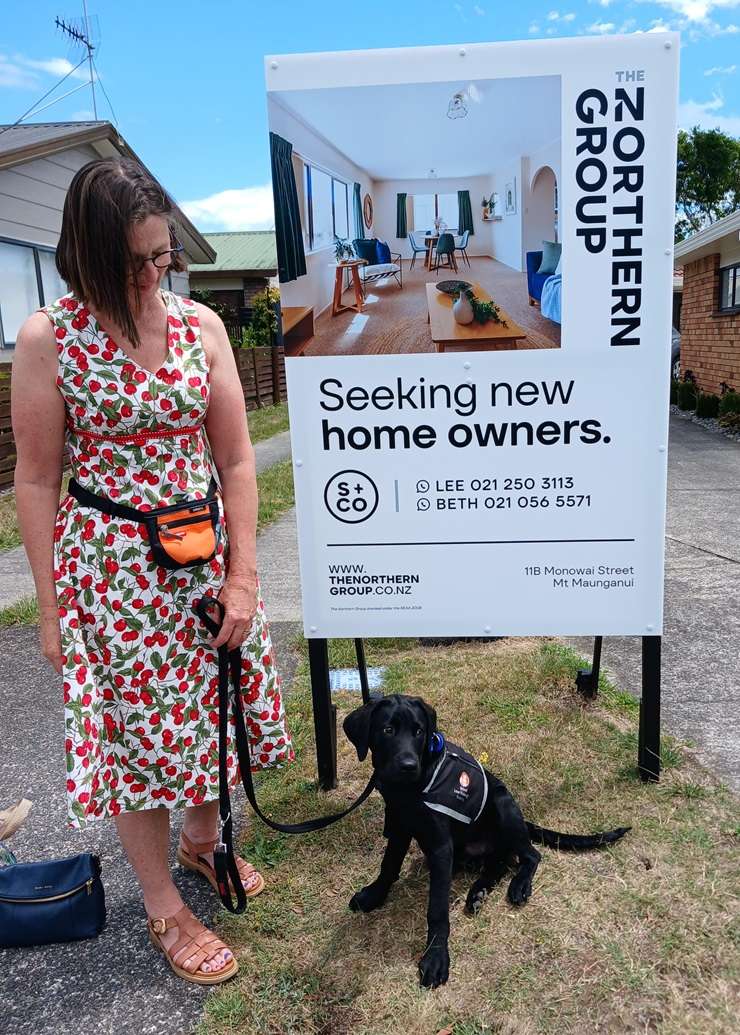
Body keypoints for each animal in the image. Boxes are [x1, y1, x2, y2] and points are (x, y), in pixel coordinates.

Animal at [343, 695, 629, 985]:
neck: (410, 790)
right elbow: (388, 865)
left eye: (419, 731)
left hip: (503, 804)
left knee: (529, 855)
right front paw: (374, 895)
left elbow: (437, 909)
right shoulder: (399, 824)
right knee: (499, 863)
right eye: (388, 730)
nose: (409, 766)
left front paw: (436, 957)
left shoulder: (440, 846)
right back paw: (478, 892)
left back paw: (517, 885)